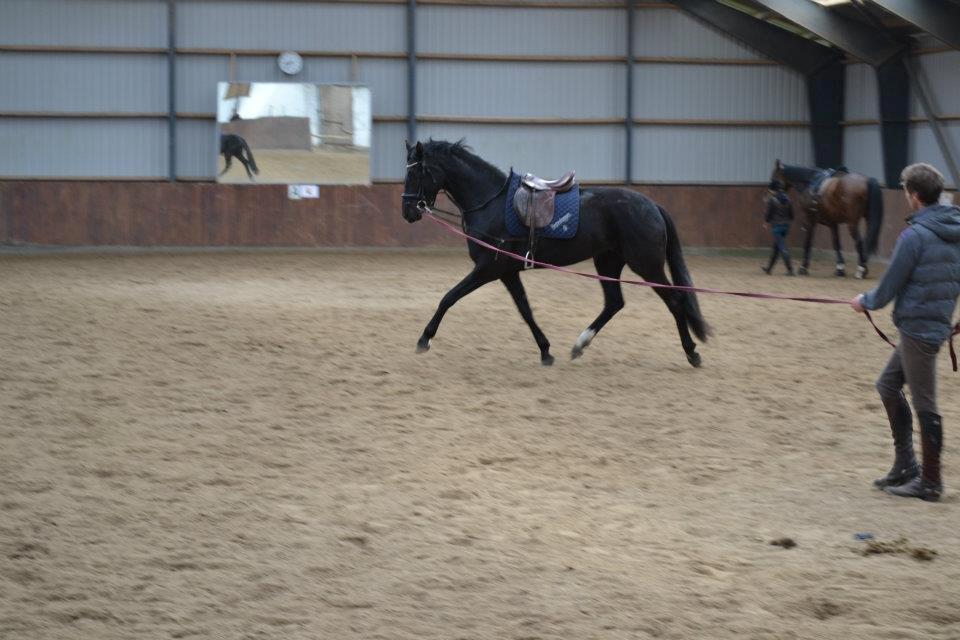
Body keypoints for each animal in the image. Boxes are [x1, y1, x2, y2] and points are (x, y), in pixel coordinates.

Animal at [402, 142, 708, 368]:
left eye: (416, 173)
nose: (408, 212)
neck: (490, 202)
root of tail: (652, 205)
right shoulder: (507, 272)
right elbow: (525, 310)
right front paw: (546, 351)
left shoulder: (488, 268)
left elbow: (449, 297)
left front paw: (424, 339)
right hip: (608, 261)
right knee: (614, 302)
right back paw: (580, 345)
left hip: (646, 265)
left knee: (675, 301)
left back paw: (691, 352)